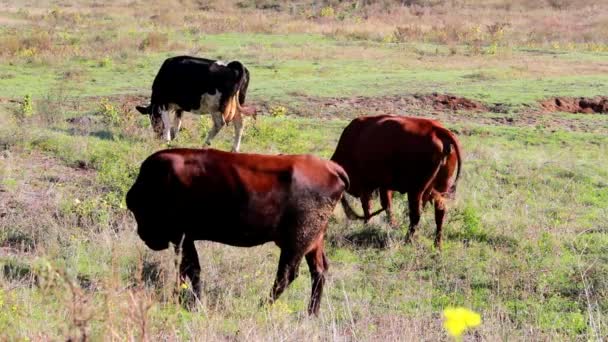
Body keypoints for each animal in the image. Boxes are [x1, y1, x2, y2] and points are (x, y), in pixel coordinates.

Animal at [126, 148, 350, 316]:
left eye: (139, 210)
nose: (144, 235)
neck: (157, 183)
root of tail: (332, 168)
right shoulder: (183, 239)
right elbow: (187, 269)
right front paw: (184, 299)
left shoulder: (182, 237)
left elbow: (190, 269)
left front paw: (189, 301)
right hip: (313, 242)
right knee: (318, 271)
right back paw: (311, 313)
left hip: (295, 243)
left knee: (286, 275)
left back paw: (262, 306)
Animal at [332, 115, 460, 248]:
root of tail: (437, 129)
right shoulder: (384, 186)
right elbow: (387, 205)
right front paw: (391, 224)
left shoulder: (367, 185)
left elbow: (368, 206)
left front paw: (367, 223)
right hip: (440, 188)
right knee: (440, 212)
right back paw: (437, 244)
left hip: (416, 190)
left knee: (416, 215)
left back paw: (408, 240)